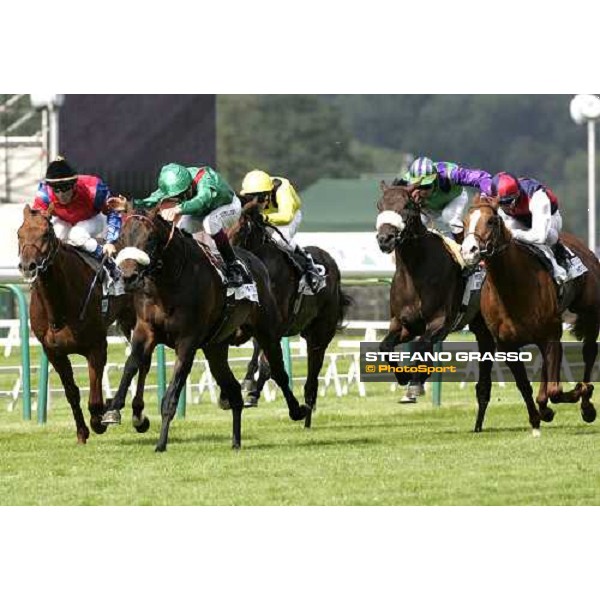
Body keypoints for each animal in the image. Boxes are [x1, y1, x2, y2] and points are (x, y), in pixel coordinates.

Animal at [16, 204, 136, 442]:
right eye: (19, 234)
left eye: (46, 234)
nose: (28, 266)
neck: (58, 308)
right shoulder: (53, 352)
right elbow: (71, 393)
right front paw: (82, 432)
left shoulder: (96, 346)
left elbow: (95, 397)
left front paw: (99, 420)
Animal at [101, 204, 310, 452]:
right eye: (123, 236)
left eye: (150, 238)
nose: (128, 276)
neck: (169, 281)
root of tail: (256, 261)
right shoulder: (145, 330)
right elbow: (131, 365)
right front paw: (113, 410)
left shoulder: (187, 341)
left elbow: (171, 393)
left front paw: (161, 443)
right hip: (215, 347)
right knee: (233, 390)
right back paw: (236, 441)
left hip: (267, 332)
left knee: (277, 370)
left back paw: (298, 410)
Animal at [230, 202, 352, 426]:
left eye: (241, 229)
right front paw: (250, 385)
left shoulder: (276, 326)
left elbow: (267, 361)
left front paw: (251, 387)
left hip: (320, 333)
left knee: (313, 373)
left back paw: (308, 412)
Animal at [376, 183, 502, 432]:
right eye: (379, 205)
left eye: (407, 205)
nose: (385, 238)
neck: (415, 270)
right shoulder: (404, 325)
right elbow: (385, 347)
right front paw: (405, 378)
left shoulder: (440, 322)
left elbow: (423, 345)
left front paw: (417, 381)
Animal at [460, 195, 600, 428]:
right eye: (464, 222)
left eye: (491, 221)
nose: (468, 250)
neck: (512, 288)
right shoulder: (506, 345)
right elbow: (524, 384)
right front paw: (537, 415)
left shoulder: (550, 335)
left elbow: (555, 390)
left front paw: (579, 391)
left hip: (589, 316)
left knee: (589, 353)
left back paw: (587, 405)